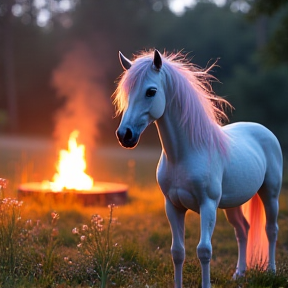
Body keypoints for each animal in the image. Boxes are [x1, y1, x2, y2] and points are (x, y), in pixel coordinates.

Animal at [112, 50, 282, 288]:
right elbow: (177, 252)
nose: (124, 135)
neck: (184, 154)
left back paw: (271, 271)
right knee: (242, 230)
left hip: (270, 194)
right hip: (233, 203)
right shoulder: (172, 206)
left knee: (271, 230)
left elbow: (204, 251)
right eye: (126, 92)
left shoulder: (207, 205)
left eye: (151, 91)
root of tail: (264, 131)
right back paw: (239, 273)